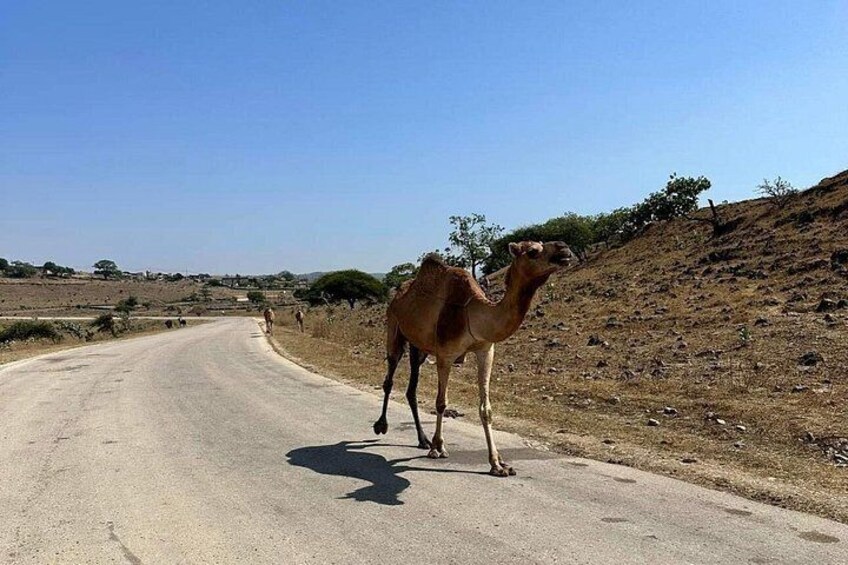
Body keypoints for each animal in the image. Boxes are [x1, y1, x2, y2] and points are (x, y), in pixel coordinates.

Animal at [373, 241, 575, 477]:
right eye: (533, 251)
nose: (564, 249)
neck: (472, 314)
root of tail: (397, 295)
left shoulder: (485, 350)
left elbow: (486, 409)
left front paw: (498, 464)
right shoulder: (445, 354)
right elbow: (441, 402)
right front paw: (438, 447)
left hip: (418, 346)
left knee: (411, 389)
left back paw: (422, 440)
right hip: (394, 327)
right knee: (389, 377)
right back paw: (381, 426)